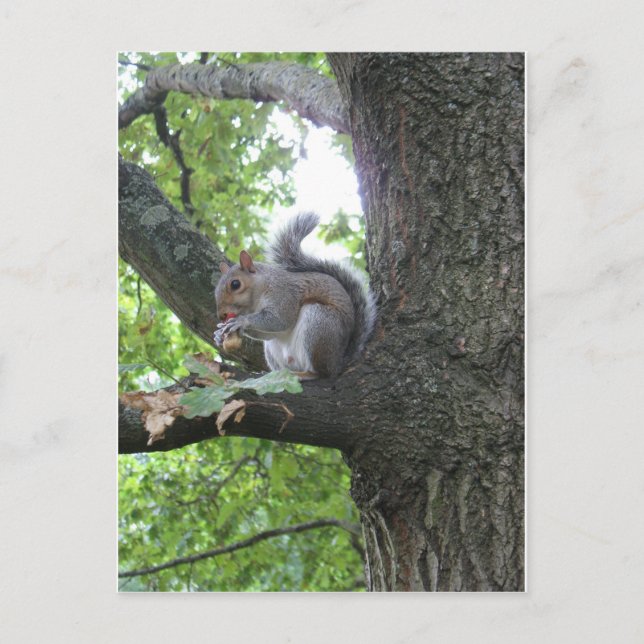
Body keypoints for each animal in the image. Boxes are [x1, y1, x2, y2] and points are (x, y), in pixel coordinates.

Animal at [213, 212, 376, 379]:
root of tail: (337, 363)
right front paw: (219, 334)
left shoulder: (284, 295)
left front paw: (241, 321)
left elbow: (280, 320)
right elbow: (270, 332)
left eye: (235, 284)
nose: (221, 315)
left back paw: (306, 374)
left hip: (319, 323)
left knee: (322, 373)